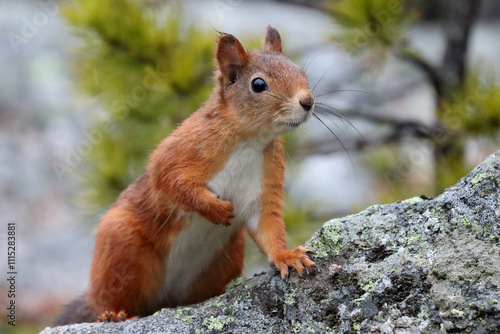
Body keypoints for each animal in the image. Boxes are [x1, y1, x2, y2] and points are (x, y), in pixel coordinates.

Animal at [56, 26, 314, 326]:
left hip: (224, 257)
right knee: (109, 297)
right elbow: (172, 183)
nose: (307, 101)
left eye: (300, 70)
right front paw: (216, 209)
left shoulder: (265, 183)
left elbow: (268, 226)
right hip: (121, 246)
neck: (250, 140)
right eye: (258, 85)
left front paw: (288, 256)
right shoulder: (179, 151)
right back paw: (113, 315)